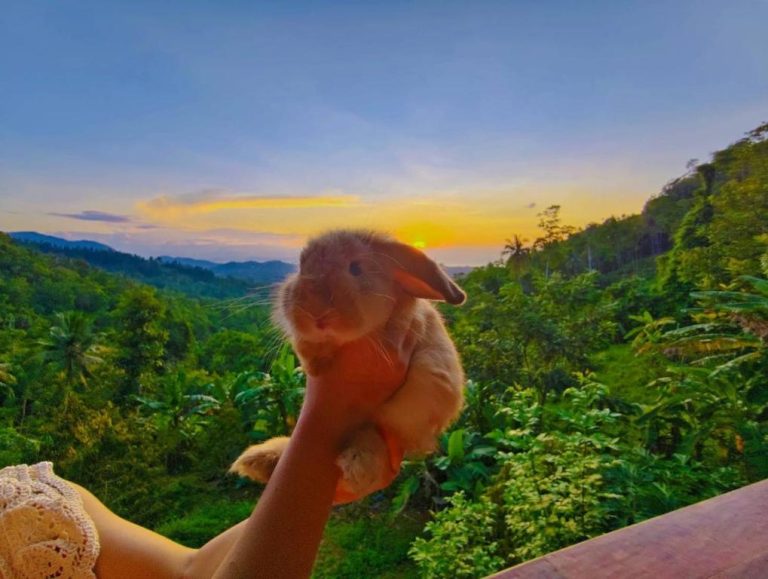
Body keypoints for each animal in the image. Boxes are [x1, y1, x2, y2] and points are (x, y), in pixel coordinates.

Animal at [230, 229, 466, 500]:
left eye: (356, 268)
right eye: (301, 266)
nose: (315, 312)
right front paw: (314, 361)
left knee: (372, 435)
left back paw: (356, 467)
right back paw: (258, 460)